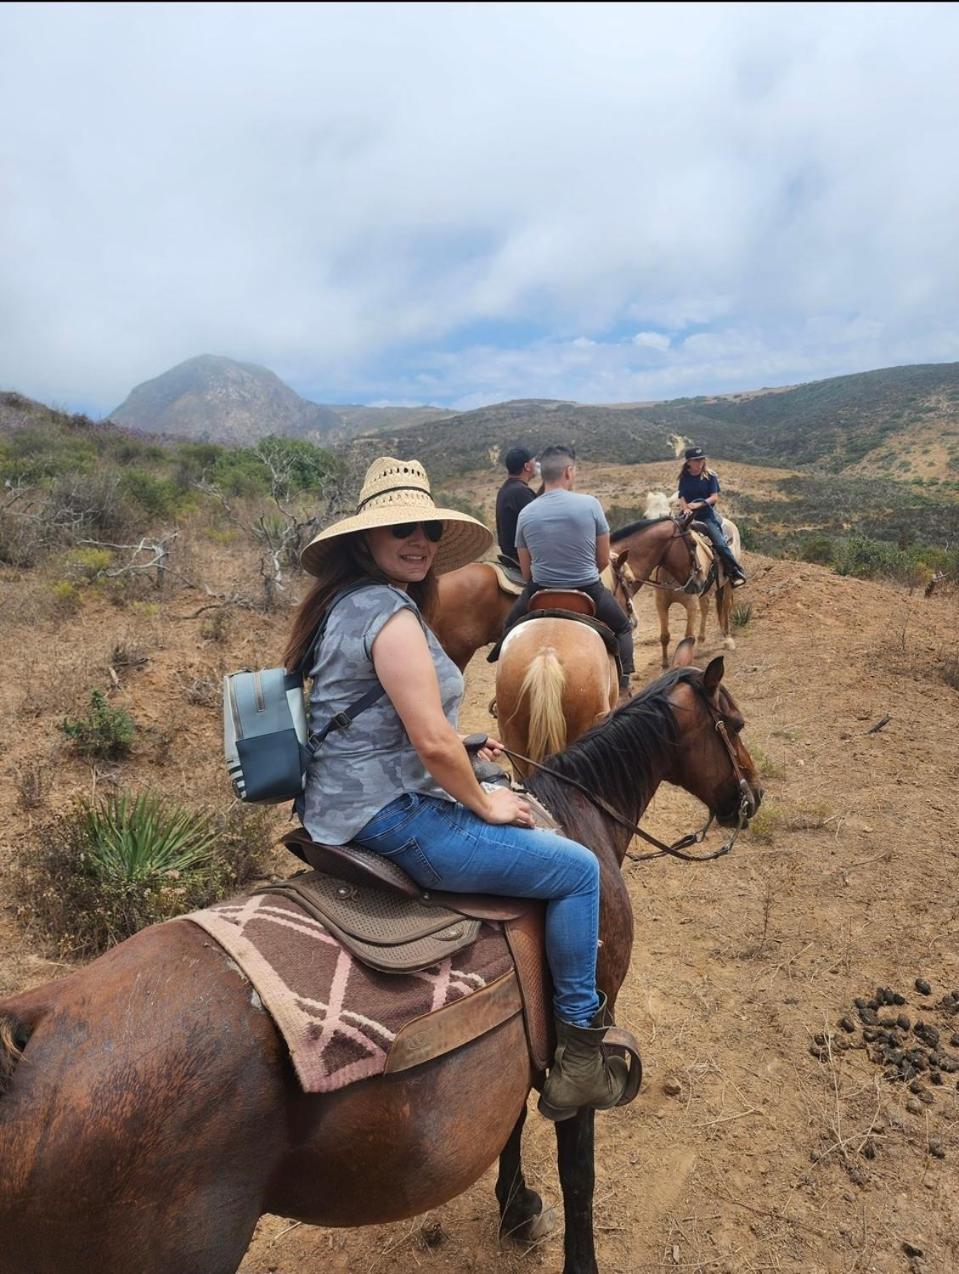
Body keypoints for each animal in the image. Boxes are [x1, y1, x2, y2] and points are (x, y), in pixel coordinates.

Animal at [1, 657, 764, 1274]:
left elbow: (513, 1120)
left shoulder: (519, 1035)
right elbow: (579, 1174)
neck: (578, 821)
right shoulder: (585, 1021)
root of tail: (35, 1029)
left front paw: (516, 1207)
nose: (750, 800)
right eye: (734, 722)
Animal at [639, 486, 743, 667]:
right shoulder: (661, 602)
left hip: (728, 584)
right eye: (645, 516)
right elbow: (664, 636)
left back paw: (727, 639)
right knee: (707, 607)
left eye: (667, 514)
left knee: (726, 607)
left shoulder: (690, 603)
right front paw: (665, 664)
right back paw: (701, 642)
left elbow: (687, 637)